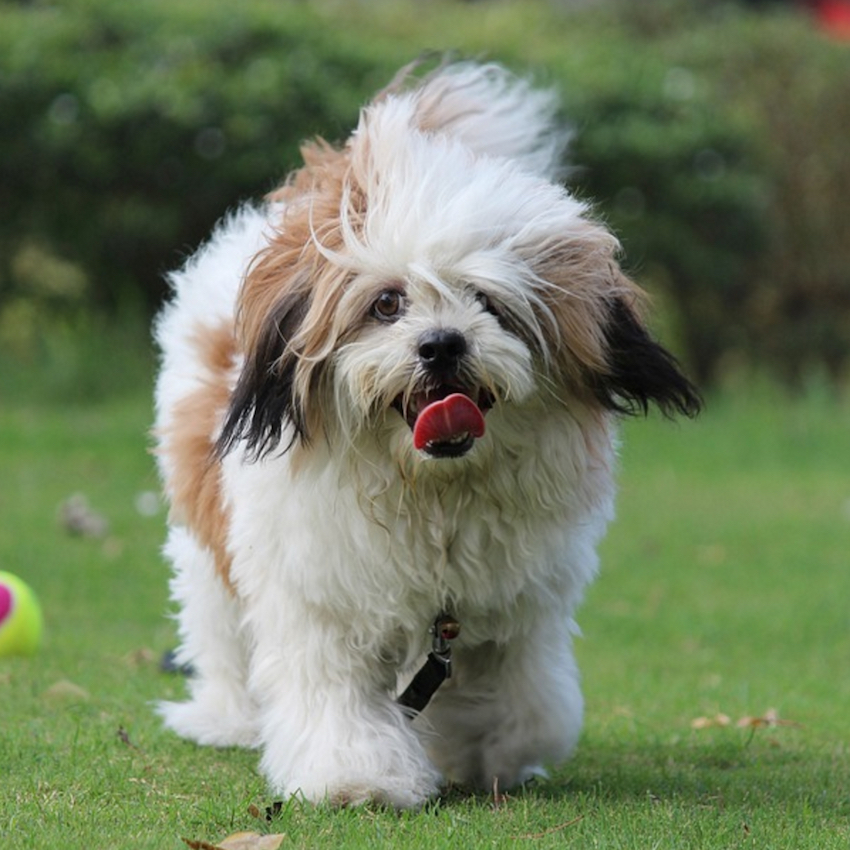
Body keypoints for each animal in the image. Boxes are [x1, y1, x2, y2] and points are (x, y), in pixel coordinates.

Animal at [156, 61, 700, 808]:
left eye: (489, 303)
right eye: (387, 304)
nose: (442, 344)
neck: (431, 490)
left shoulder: (514, 606)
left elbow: (525, 702)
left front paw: (484, 750)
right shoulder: (318, 595)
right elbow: (335, 695)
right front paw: (358, 775)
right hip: (208, 546)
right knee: (219, 629)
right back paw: (229, 717)